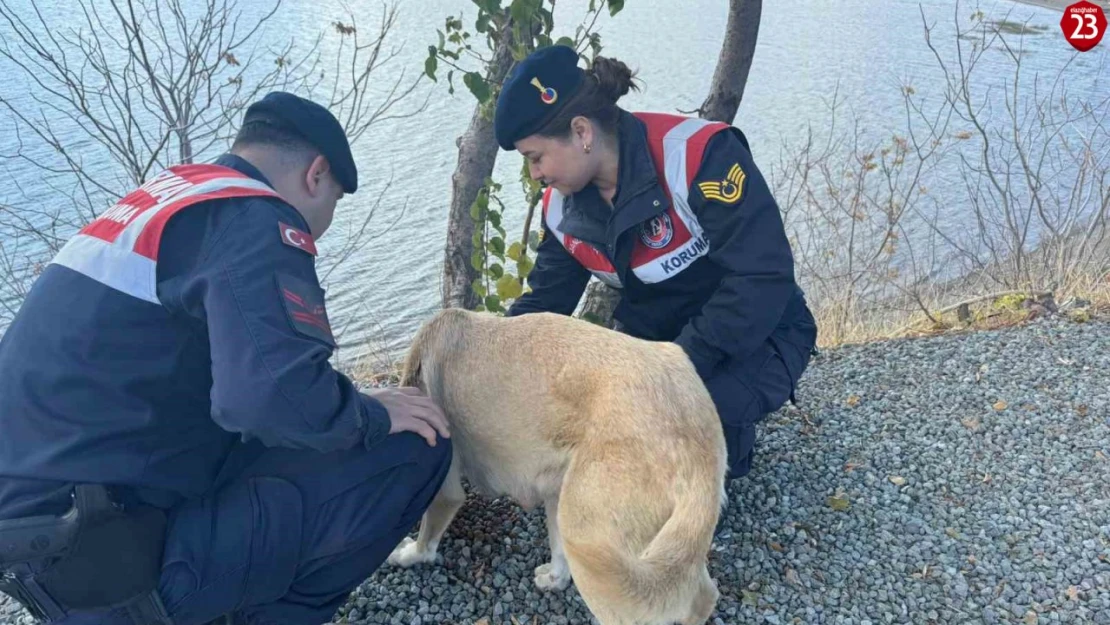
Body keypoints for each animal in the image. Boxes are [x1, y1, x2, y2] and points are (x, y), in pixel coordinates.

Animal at [384, 308, 728, 625]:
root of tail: (695, 438)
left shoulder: (447, 491)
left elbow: (426, 541)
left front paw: (407, 554)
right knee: (703, 594)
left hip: (599, 551)